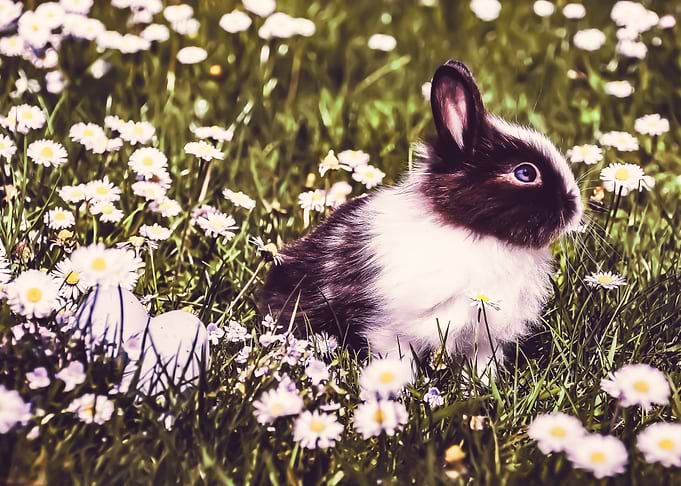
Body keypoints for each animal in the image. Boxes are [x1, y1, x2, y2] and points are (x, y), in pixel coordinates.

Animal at [261, 59, 583, 373]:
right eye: (525, 173)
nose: (575, 207)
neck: (475, 233)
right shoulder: (389, 328)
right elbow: (396, 358)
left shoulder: (483, 340)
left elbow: (480, 365)